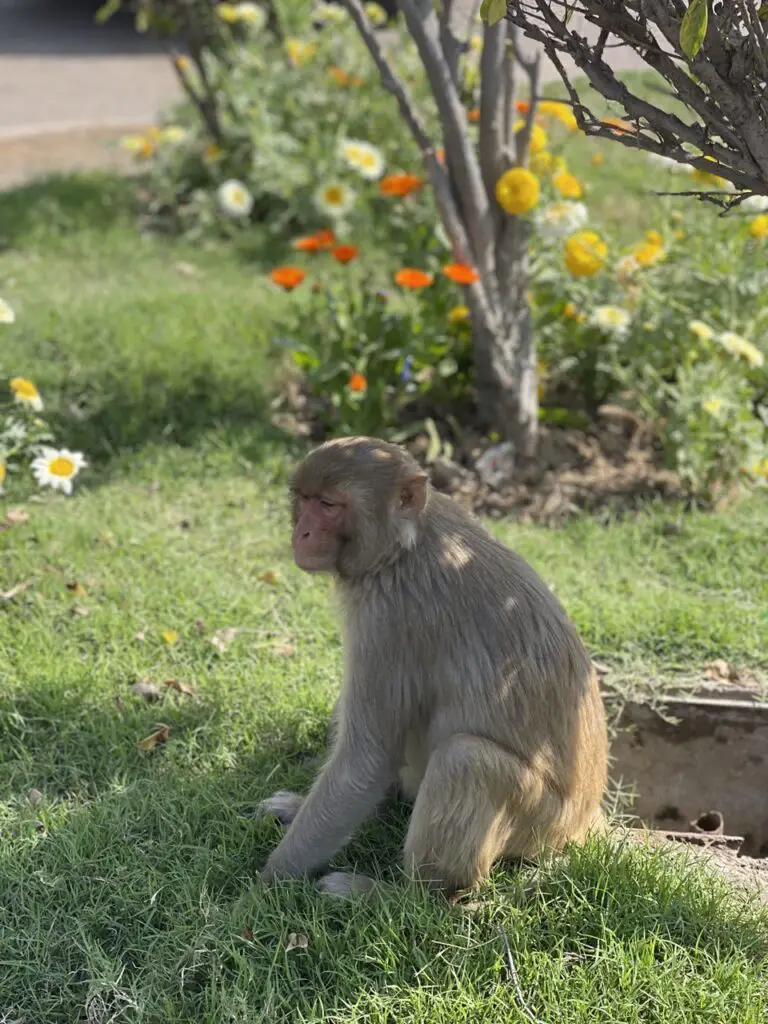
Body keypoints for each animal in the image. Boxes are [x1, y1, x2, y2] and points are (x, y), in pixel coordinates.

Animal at [259, 434, 606, 897]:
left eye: (329, 505)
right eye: (305, 499)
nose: (302, 532)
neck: (404, 545)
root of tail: (581, 823)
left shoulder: (390, 616)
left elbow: (364, 761)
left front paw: (263, 887)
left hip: (537, 822)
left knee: (464, 758)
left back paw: (398, 895)